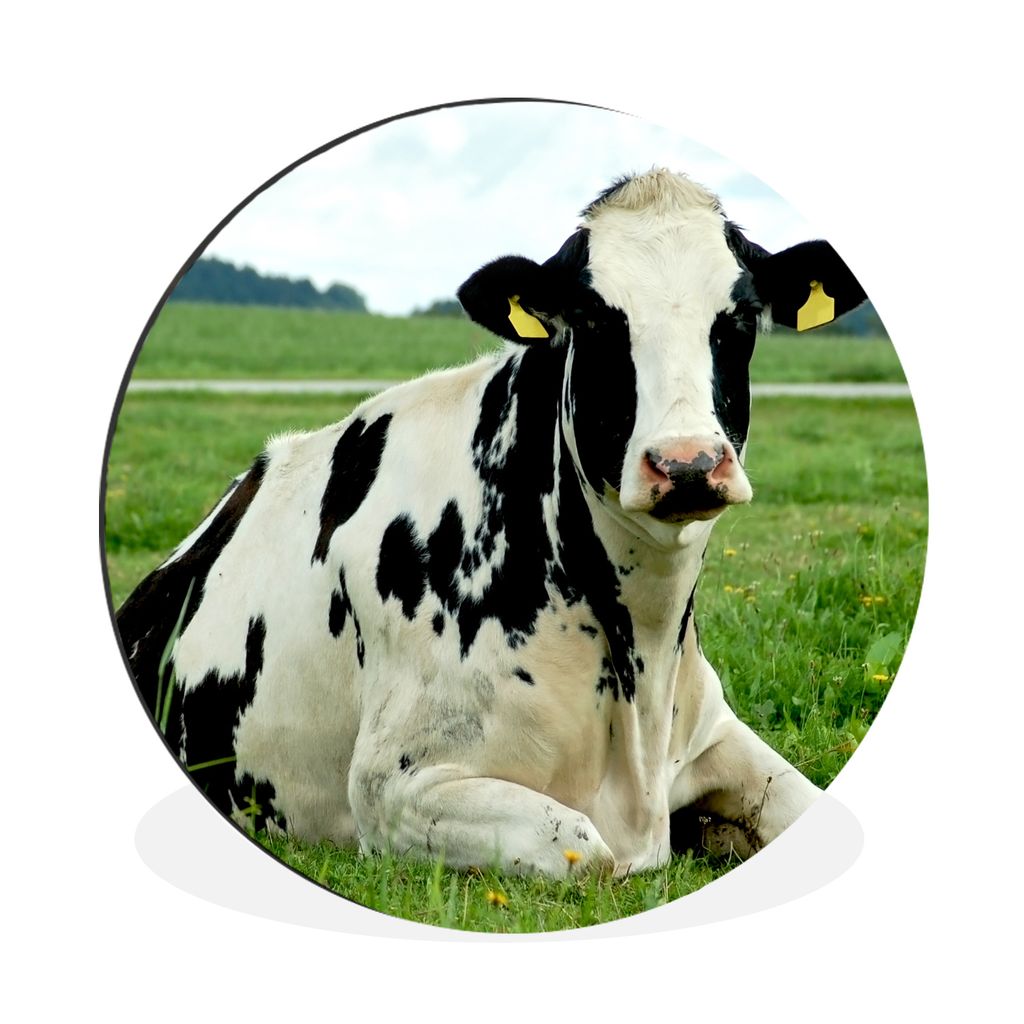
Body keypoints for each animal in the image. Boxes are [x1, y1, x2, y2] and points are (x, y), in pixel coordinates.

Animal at [115, 168, 866, 876]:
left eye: (741, 316)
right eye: (593, 317)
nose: (686, 463)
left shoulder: (712, 733)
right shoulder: (394, 787)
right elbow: (588, 851)